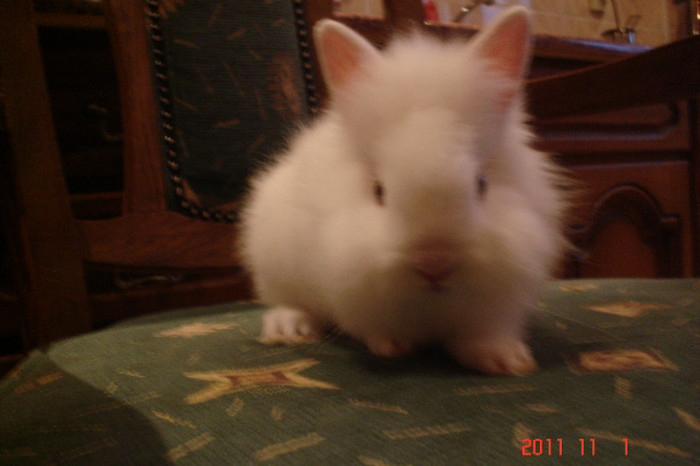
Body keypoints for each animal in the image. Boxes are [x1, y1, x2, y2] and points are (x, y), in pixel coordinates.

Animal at [241, 7, 568, 376]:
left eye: (481, 183)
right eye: (379, 190)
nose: (435, 263)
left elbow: (479, 337)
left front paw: (508, 360)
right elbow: (375, 328)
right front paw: (393, 347)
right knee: (288, 301)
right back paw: (289, 328)